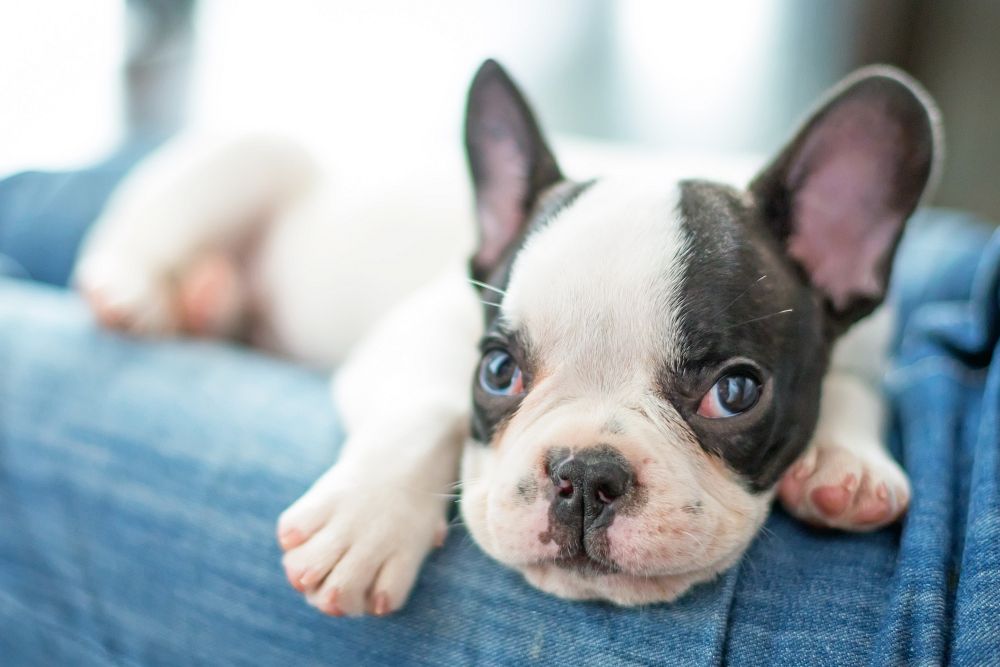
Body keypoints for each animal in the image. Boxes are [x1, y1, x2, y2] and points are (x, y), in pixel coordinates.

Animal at [76, 61, 936, 616]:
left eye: (737, 391)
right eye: (496, 371)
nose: (586, 473)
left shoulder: (866, 341)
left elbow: (855, 383)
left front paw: (845, 461)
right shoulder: (422, 327)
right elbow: (428, 408)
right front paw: (366, 520)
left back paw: (206, 302)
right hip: (253, 158)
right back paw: (138, 291)